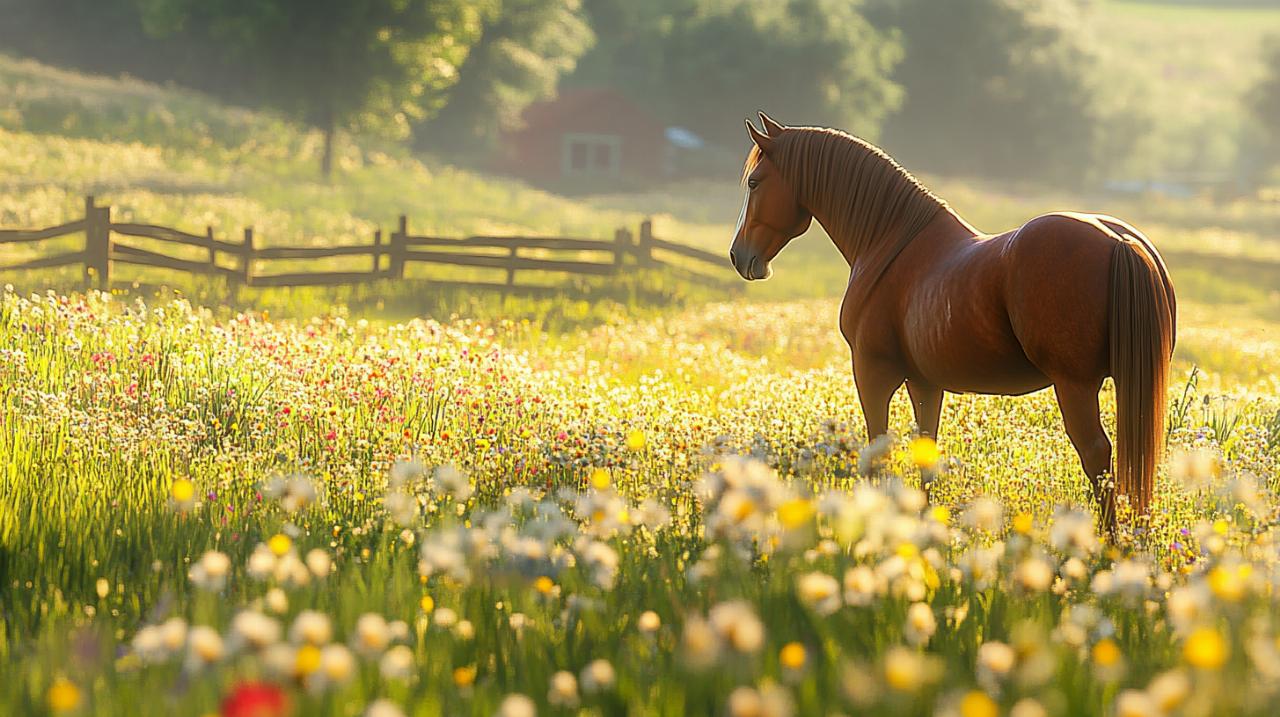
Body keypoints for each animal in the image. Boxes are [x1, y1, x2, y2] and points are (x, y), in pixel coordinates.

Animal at [729, 113, 1175, 529]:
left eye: (754, 182)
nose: (739, 256)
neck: (890, 243)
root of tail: (1120, 240)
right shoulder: (925, 382)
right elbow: (926, 452)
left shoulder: (873, 374)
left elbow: (877, 452)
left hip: (1076, 387)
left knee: (1096, 456)